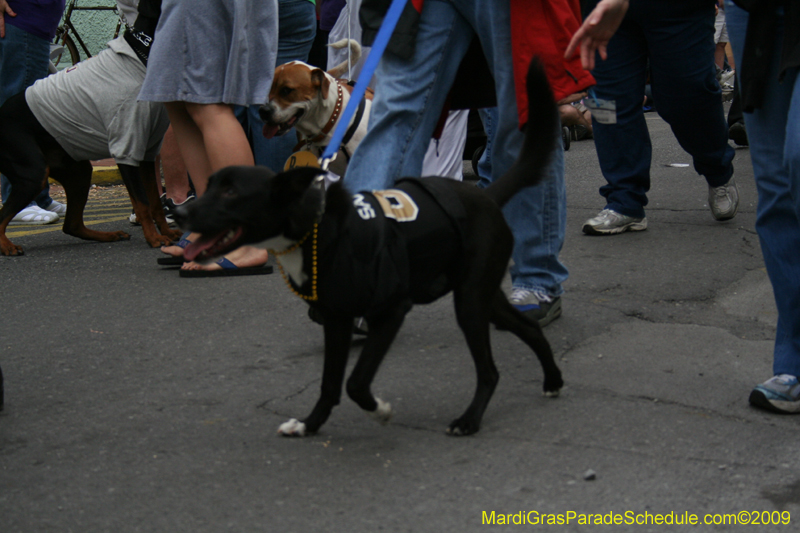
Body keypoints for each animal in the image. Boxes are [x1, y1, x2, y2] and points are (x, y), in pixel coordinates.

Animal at [175, 58, 564, 434]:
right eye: (268, 89)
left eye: (287, 91)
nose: (264, 111)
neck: (334, 124)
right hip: (478, 292)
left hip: (470, 296)